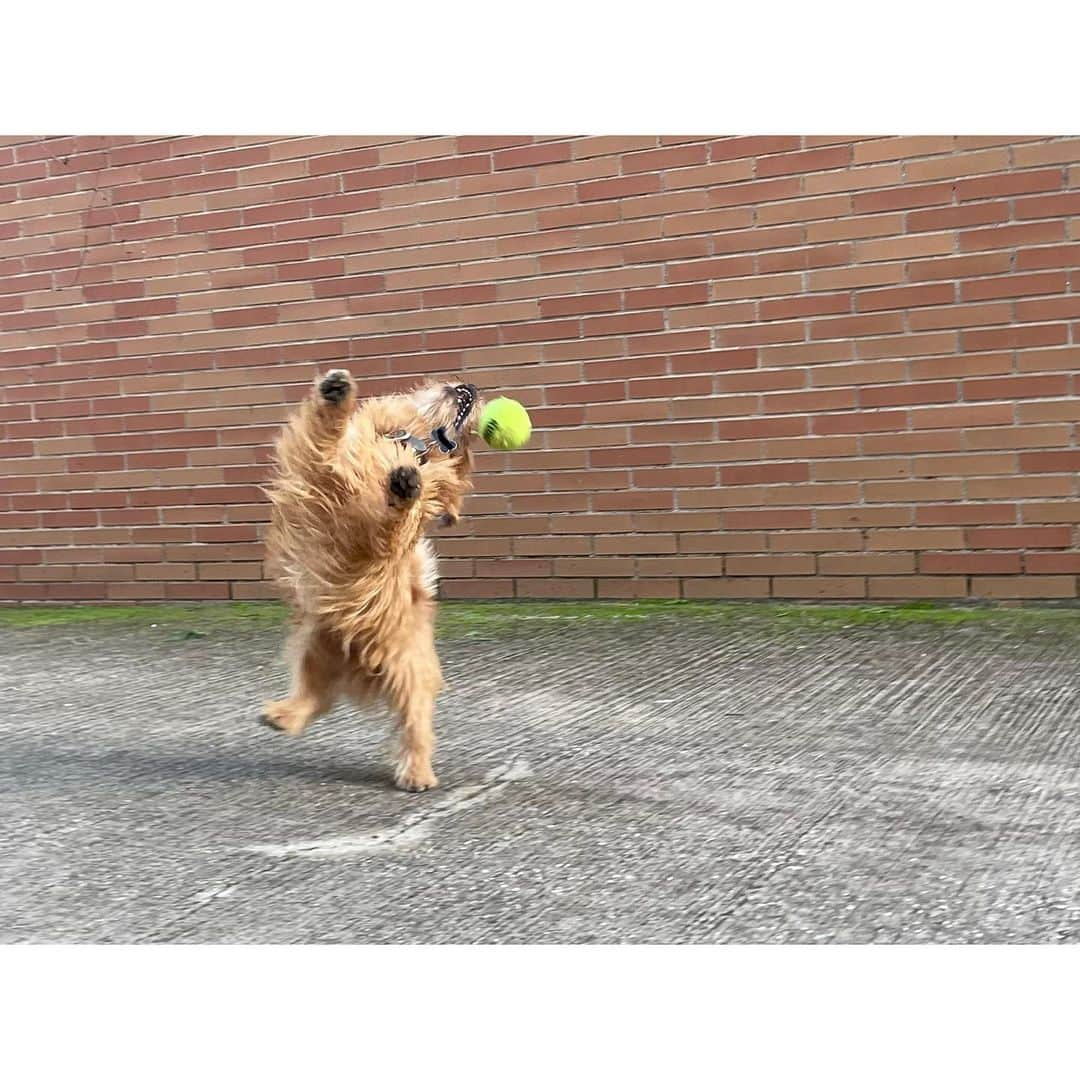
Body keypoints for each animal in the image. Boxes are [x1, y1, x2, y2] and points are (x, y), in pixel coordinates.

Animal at [259, 371, 483, 794]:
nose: (475, 387)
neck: (409, 440)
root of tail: (362, 666)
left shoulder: (375, 538)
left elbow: (395, 518)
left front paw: (405, 484)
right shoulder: (316, 465)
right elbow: (324, 435)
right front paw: (334, 394)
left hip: (409, 673)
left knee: (415, 725)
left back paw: (417, 773)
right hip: (317, 646)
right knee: (316, 696)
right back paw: (284, 715)